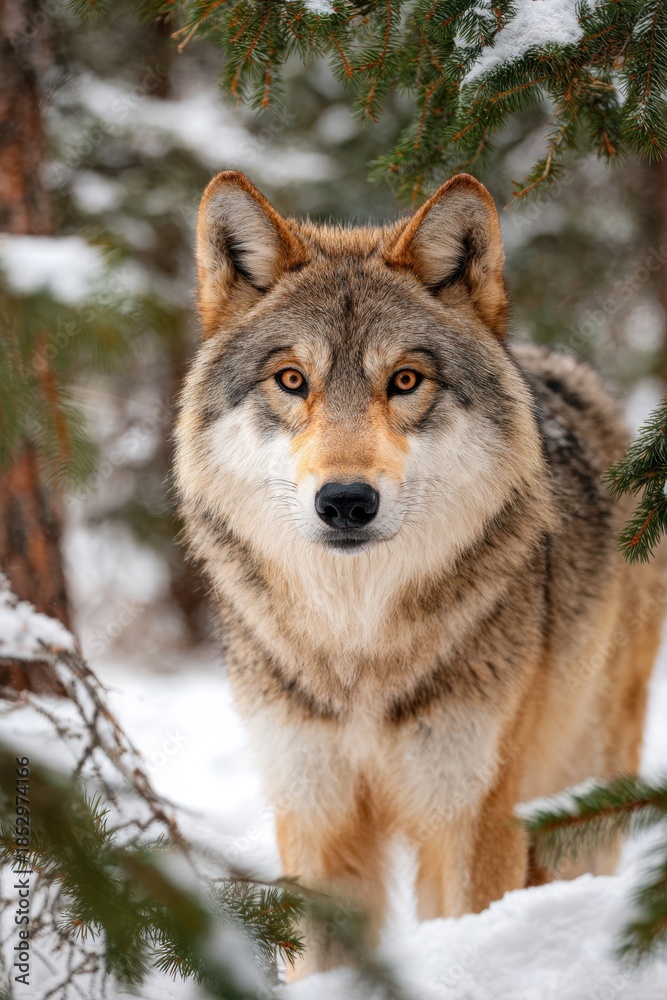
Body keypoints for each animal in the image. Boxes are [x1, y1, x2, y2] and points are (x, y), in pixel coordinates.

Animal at [175, 170, 663, 976]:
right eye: (291, 379)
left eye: (404, 380)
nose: (345, 501)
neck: (358, 643)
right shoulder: (315, 814)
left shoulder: (471, 817)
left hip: (578, 792)